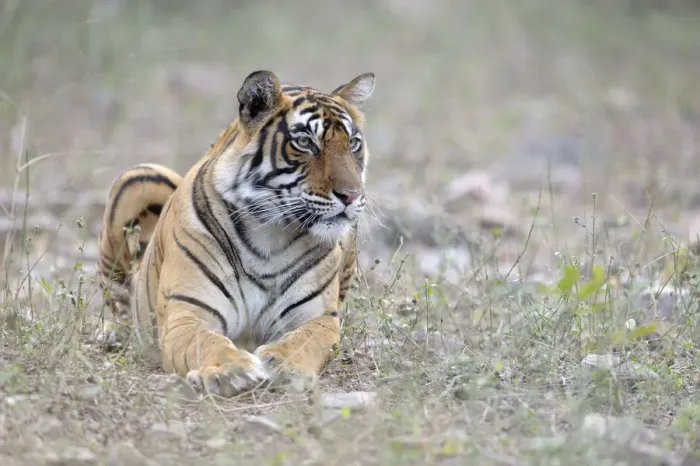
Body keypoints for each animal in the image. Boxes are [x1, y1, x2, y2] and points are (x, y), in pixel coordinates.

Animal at [95, 70, 375, 397]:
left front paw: (284, 366)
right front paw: (231, 370)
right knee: (117, 303)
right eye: (305, 142)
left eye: (353, 143)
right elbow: (205, 341)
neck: (272, 233)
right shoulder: (188, 311)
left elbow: (303, 343)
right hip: (139, 177)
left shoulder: (318, 318)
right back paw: (112, 334)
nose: (352, 195)